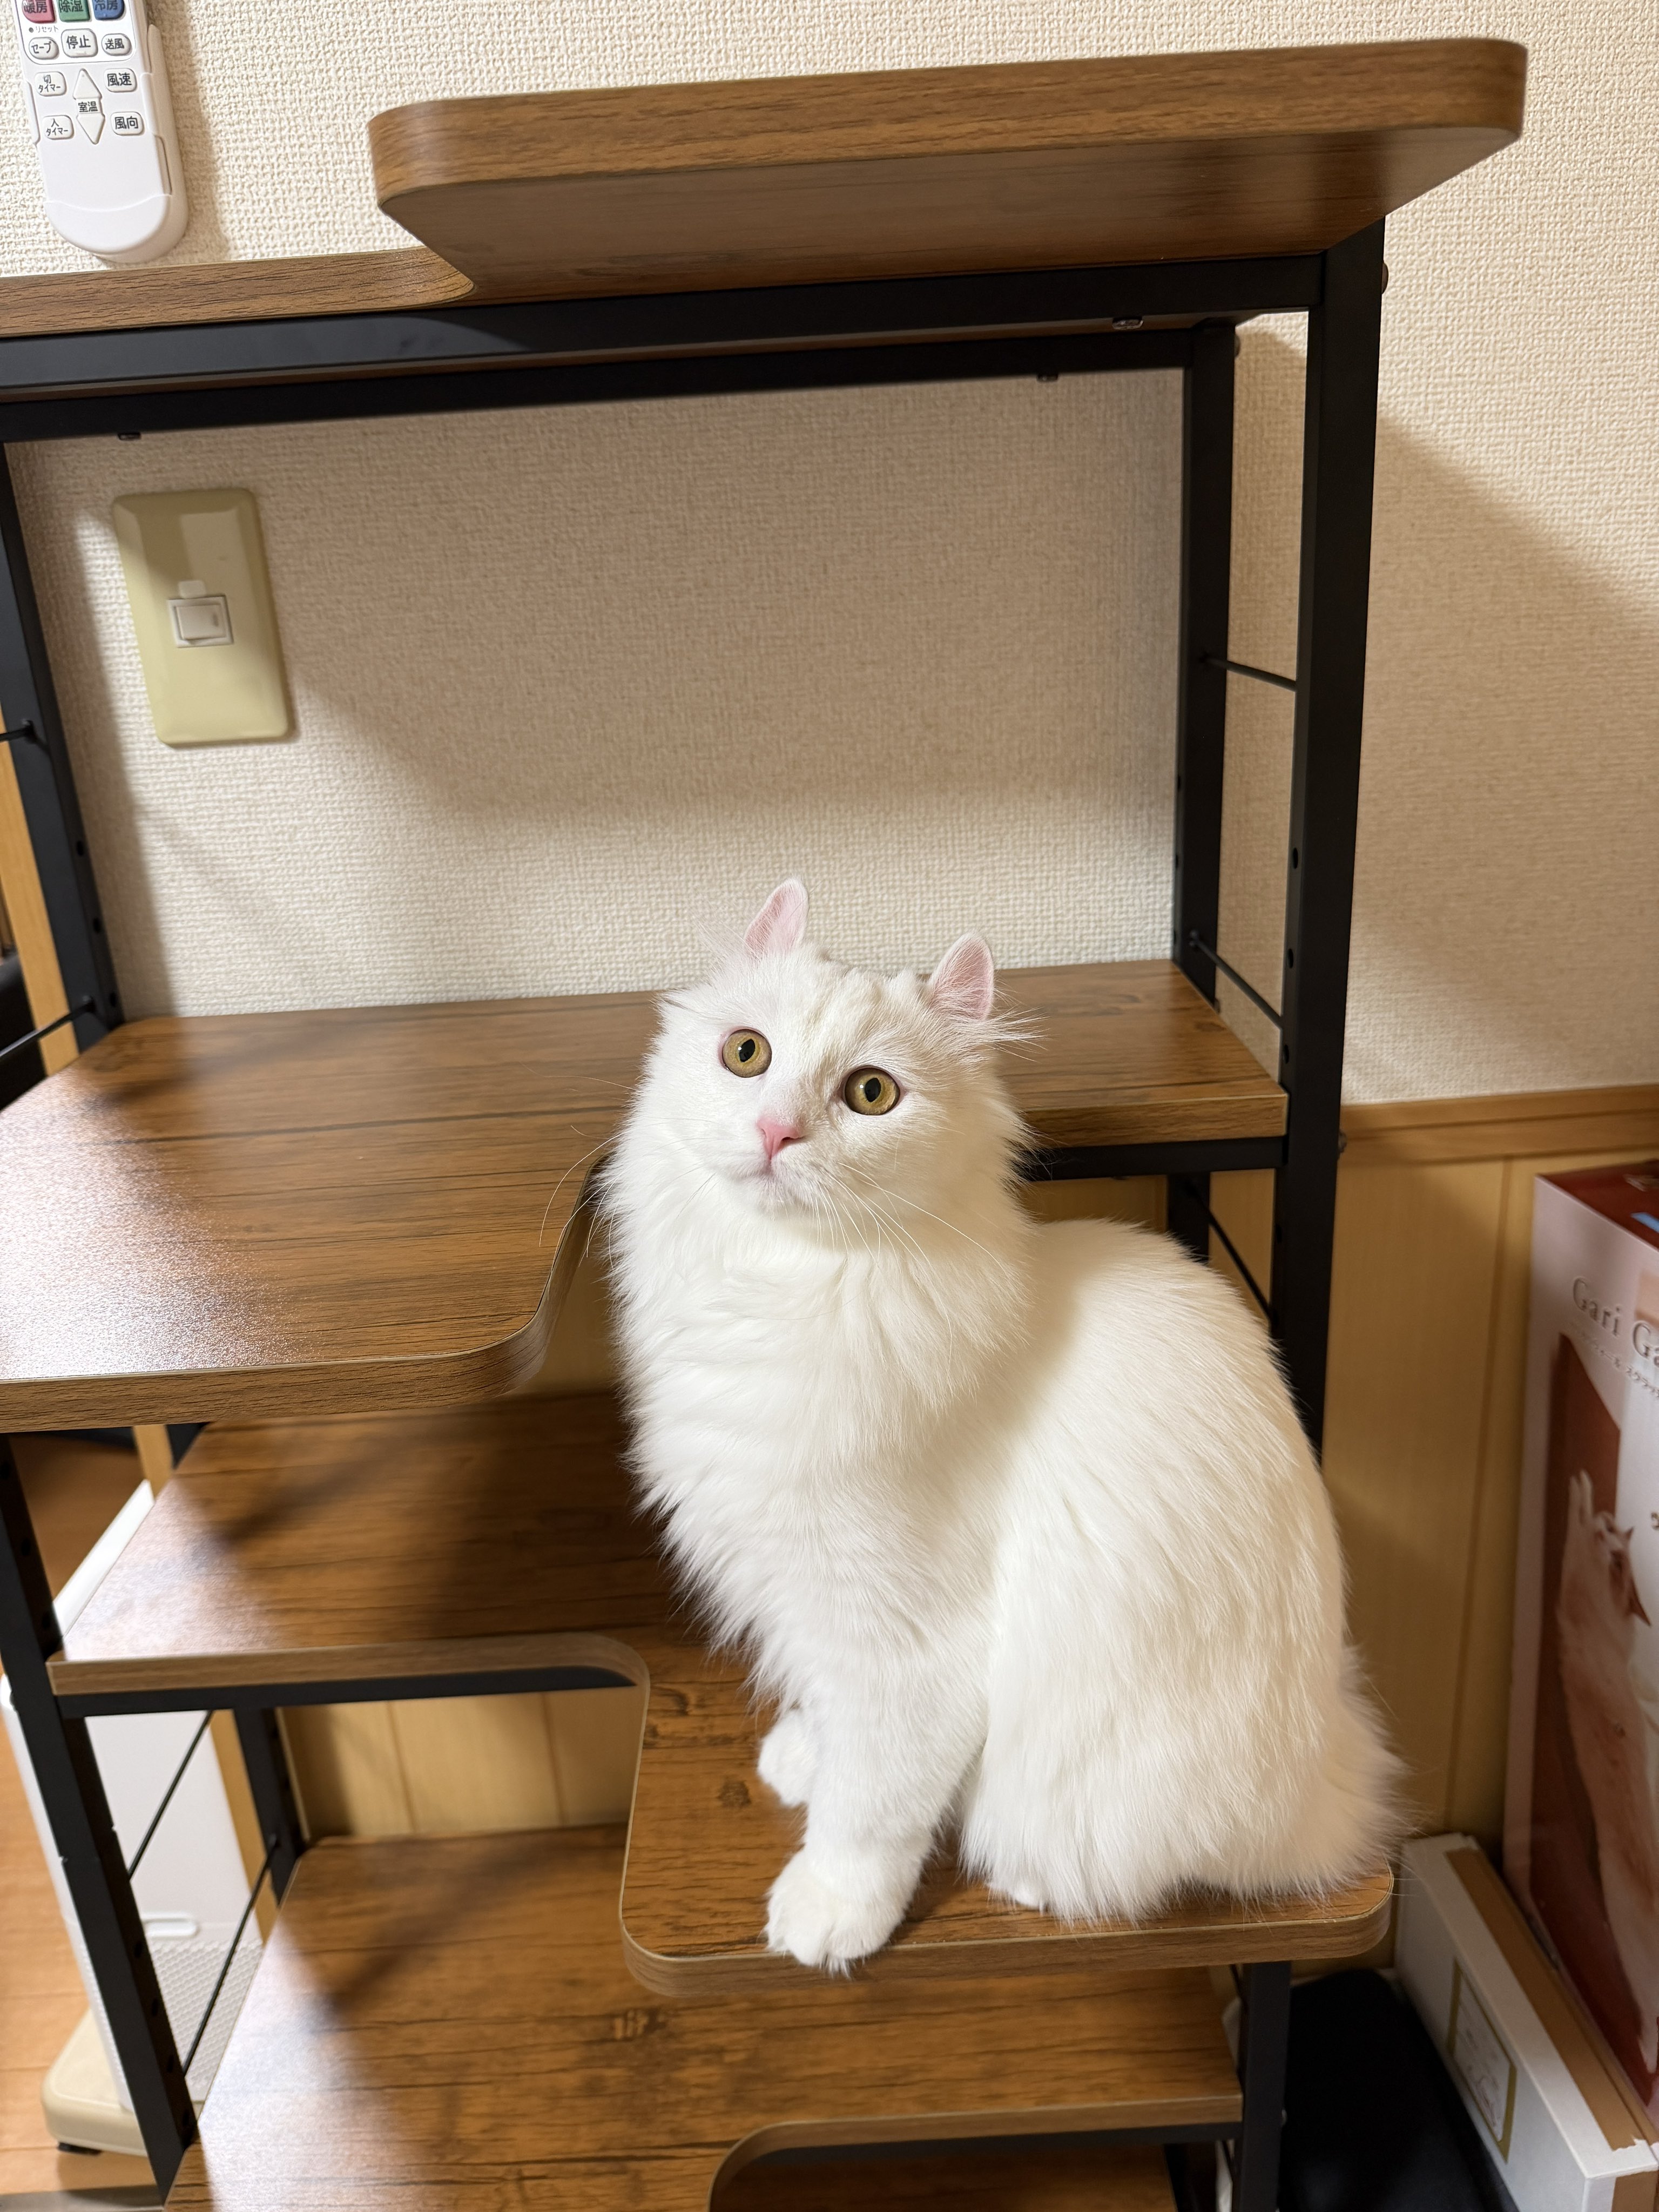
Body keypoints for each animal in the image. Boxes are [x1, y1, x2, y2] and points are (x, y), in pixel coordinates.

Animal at [606, 881, 1398, 1970]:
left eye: (870, 1095)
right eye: (746, 1054)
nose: (774, 1132)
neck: (780, 1290)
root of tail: (1328, 1790)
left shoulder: (908, 1639)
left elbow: (872, 1805)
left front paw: (830, 1913)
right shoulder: (803, 1594)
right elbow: (828, 1713)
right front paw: (804, 1756)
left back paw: (1026, 1880)